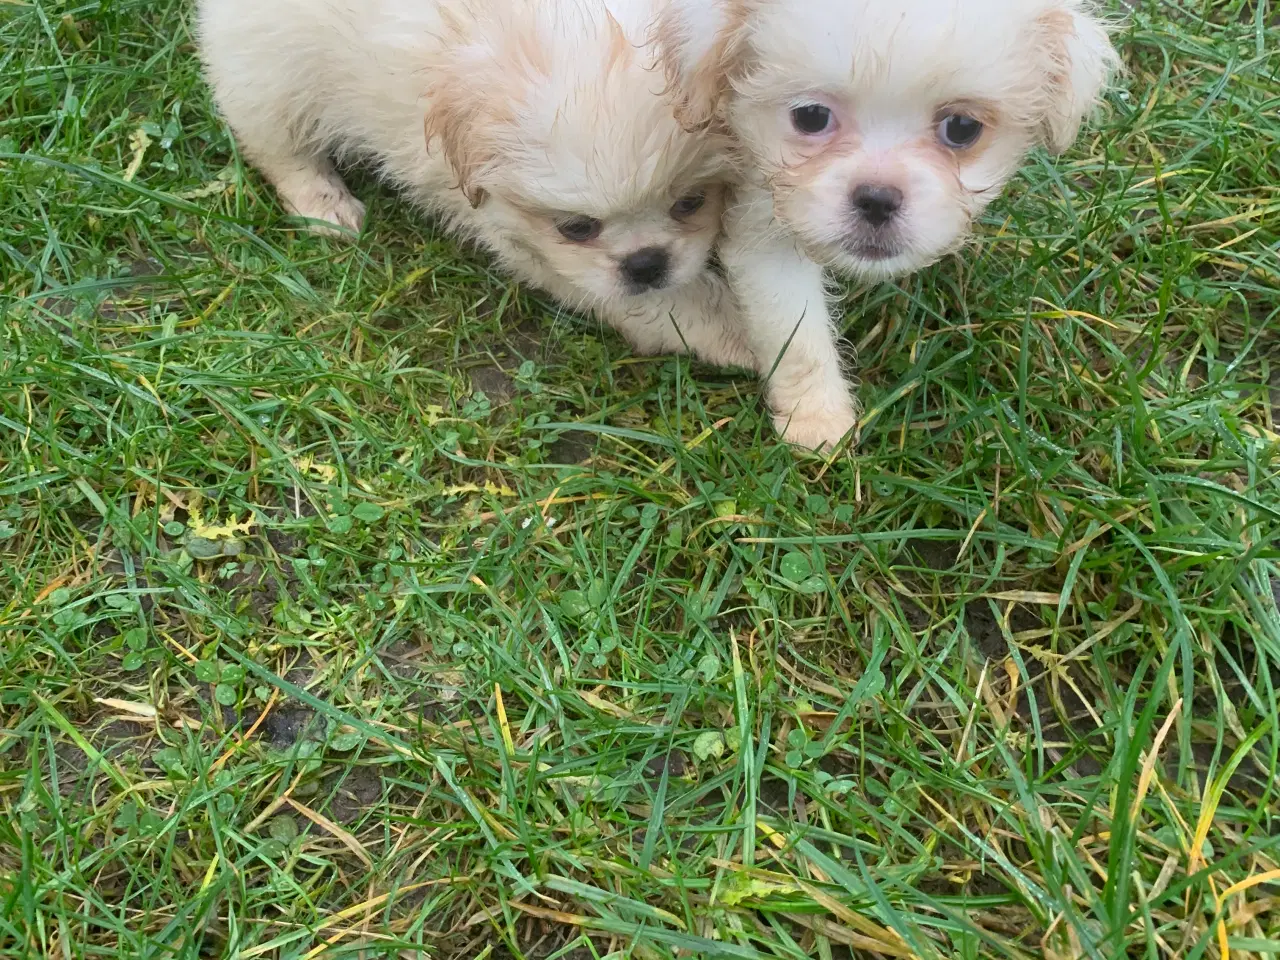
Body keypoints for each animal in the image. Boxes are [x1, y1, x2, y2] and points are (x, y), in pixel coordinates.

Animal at [198, 0, 752, 371]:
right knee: (276, 144)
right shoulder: (537, 248)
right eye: (576, 228)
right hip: (269, 70)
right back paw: (324, 204)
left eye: (692, 202)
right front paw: (743, 340)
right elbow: (673, 305)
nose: (646, 264)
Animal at [655, 0, 1116, 450]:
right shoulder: (766, 229)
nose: (876, 199)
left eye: (962, 127)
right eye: (811, 117)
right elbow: (795, 333)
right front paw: (817, 419)